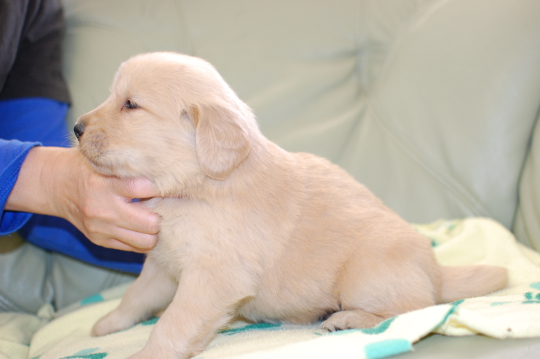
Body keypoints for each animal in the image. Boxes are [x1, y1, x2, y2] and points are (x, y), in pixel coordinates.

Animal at [74, 51, 508, 359]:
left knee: (415, 308)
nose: (76, 128)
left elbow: (175, 323)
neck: (199, 184)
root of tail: (437, 272)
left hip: (366, 273)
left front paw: (146, 353)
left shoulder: (213, 276)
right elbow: (136, 296)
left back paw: (348, 319)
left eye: (131, 105)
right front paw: (108, 323)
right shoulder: (162, 264)